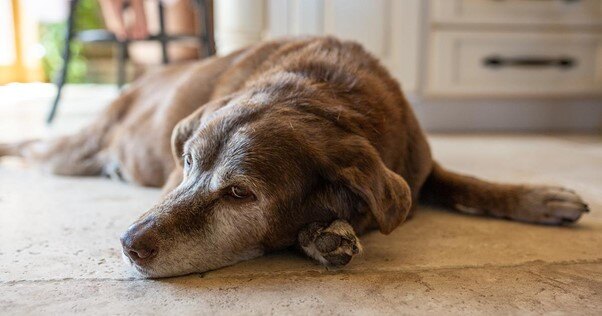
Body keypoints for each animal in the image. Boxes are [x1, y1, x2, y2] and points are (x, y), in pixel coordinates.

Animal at [0, 38, 588, 278]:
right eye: (187, 164)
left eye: (240, 193)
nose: (126, 244)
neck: (320, 90)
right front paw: (326, 234)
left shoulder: (419, 166)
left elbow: (468, 181)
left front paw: (541, 198)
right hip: (74, 151)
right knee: (34, 149)